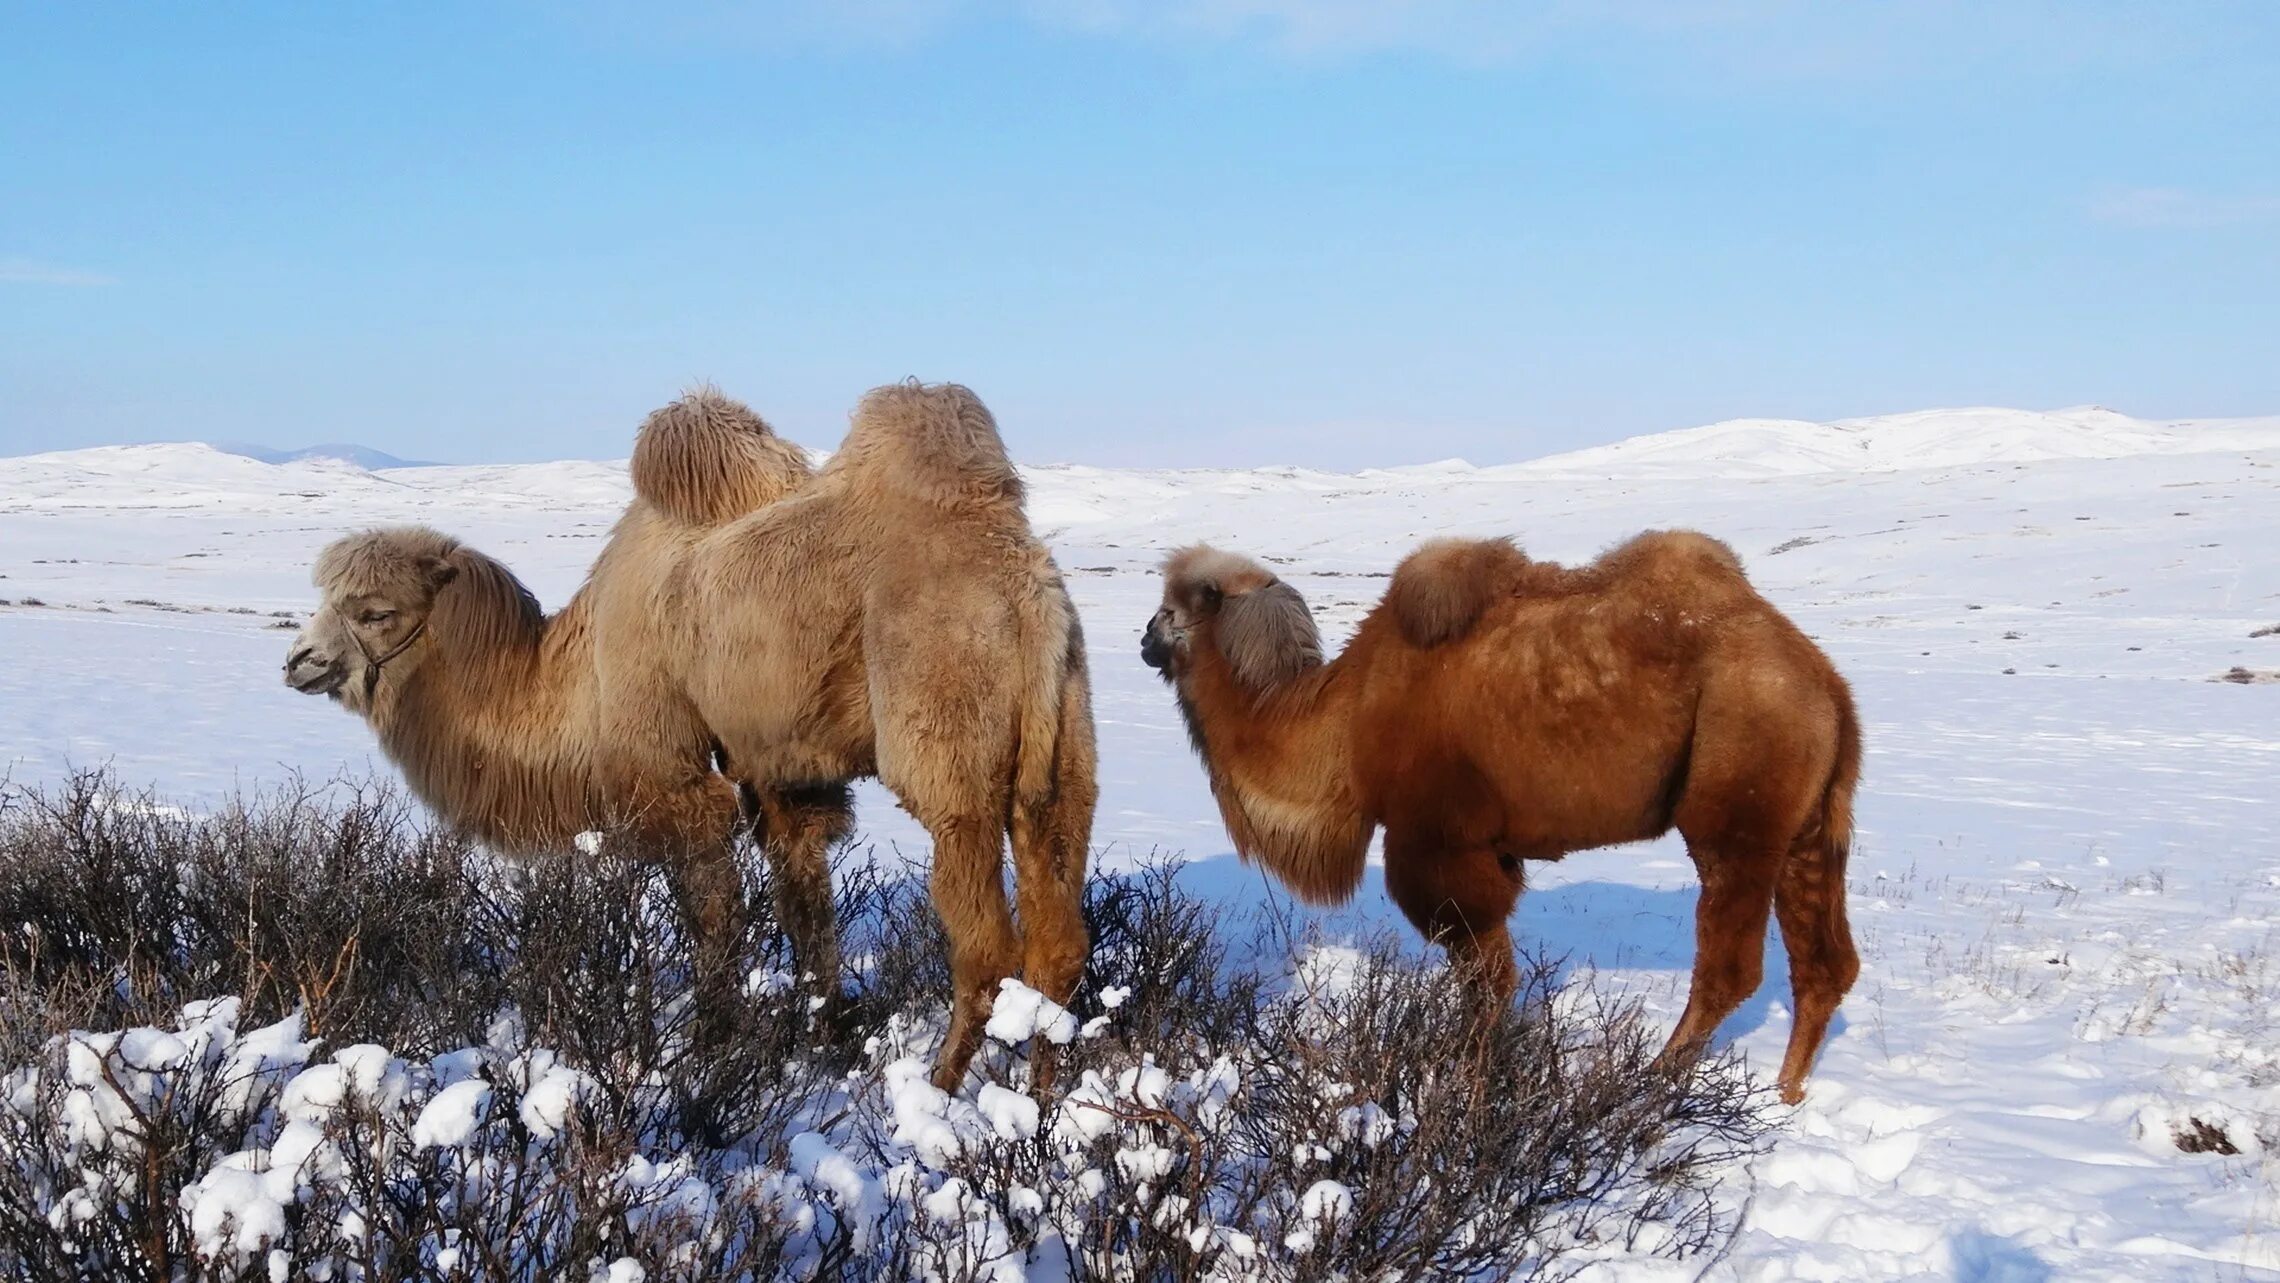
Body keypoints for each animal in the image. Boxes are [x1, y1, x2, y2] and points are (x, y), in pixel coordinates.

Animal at [287, 385, 1094, 1093]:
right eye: (325, 599)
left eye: (376, 610)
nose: (301, 660)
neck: (576, 674)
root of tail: (1027, 589)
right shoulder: (778, 771)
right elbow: (804, 904)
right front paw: (822, 1037)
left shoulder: (671, 773)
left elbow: (711, 913)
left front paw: (711, 1043)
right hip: (1062, 748)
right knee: (1058, 937)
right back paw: (1040, 1096)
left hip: (947, 740)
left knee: (985, 943)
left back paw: (940, 1091)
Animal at [1149, 533, 1860, 1102]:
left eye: (1173, 607)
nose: (1144, 639)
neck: (1343, 723)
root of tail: (1825, 683)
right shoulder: (1494, 849)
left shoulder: (1436, 843)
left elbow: (1487, 981)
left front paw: (1471, 1075)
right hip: (1810, 821)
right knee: (1825, 962)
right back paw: (1785, 1095)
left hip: (1739, 792)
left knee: (1731, 965)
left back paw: (1647, 1085)